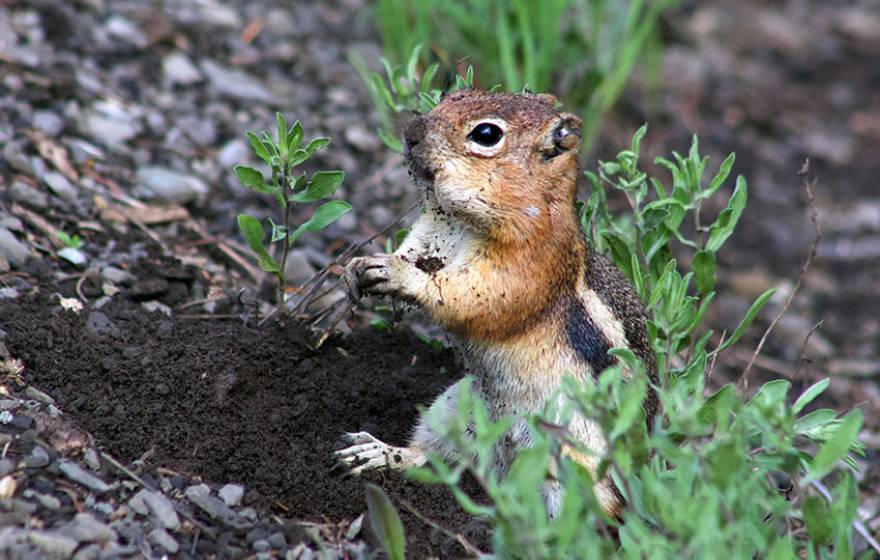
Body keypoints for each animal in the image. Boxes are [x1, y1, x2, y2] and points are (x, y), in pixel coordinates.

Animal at [340, 91, 656, 516]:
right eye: (450, 96)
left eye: (486, 134)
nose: (410, 133)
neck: (463, 220)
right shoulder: (428, 234)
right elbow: (410, 251)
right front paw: (359, 266)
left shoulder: (525, 266)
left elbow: (472, 297)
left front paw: (400, 275)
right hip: (452, 409)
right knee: (432, 458)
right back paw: (378, 453)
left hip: (573, 472)